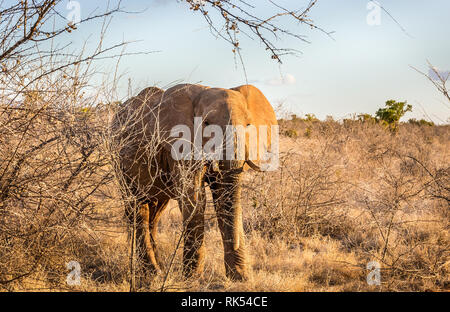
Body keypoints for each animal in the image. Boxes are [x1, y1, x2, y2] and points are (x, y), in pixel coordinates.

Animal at [111, 82, 278, 280]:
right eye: (206, 124)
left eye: (248, 125)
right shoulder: (179, 146)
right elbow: (195, 200)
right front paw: (192, 278)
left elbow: (224, 199)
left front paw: (240, 277)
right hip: (118, 159)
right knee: (137, 207)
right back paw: (152, 273)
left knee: (155, 210)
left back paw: (159, 268)